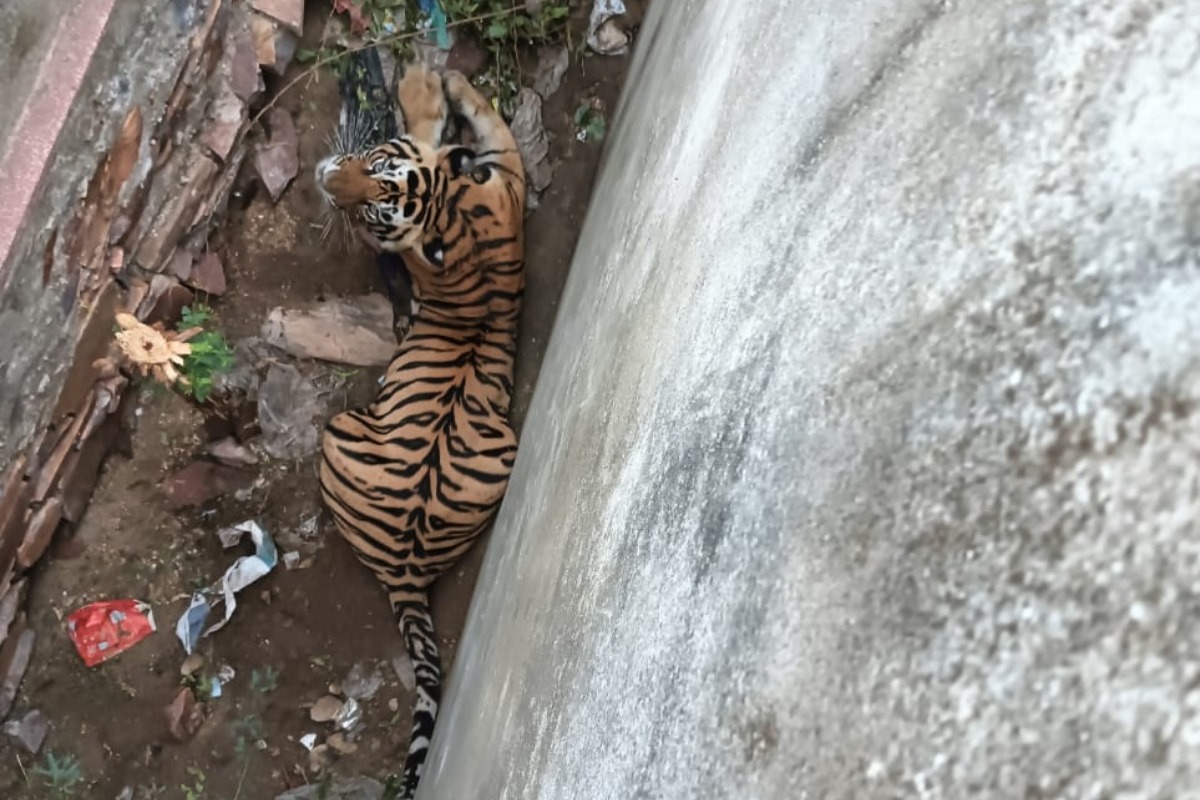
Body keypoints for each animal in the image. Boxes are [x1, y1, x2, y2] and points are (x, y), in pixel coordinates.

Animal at [314, 62, 525, 798]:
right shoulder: (504, 175)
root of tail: (406, 569)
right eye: (372, 160)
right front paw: (444, 83)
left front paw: (421, 82)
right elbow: (484, 120)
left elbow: (451, 123)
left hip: (336, 428)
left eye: (373, 209)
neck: (450, 206)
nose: (326, 180)